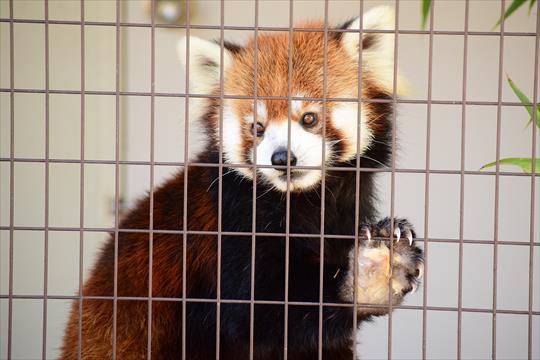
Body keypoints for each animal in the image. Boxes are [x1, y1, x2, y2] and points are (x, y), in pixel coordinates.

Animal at [60, 6, 422, 360]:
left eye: (309, 118)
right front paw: (371, 276)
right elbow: (253, 312)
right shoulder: (232, 219)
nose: (281, 158)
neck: (307, 199)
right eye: (257, 128)